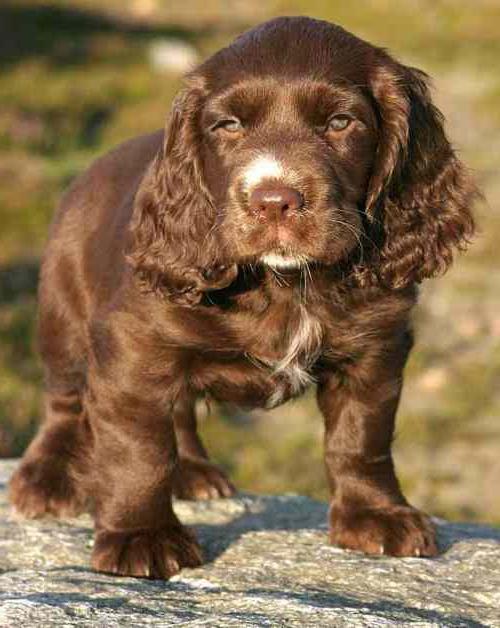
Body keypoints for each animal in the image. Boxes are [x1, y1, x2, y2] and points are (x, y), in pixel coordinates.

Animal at [8, 18, 476, 580]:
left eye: (340, 122)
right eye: (228, 126)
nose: (274, 202)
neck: (285, 282)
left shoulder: (376, 346)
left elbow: (362, 438)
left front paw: (376, 517)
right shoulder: (134, 345)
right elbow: (136, 448)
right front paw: (141, 536)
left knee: (177, 408)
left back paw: (192, 471)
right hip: (61, 308)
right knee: (65, 400)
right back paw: (47, 478)